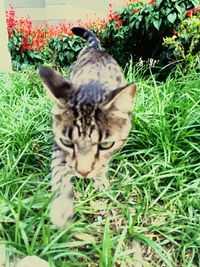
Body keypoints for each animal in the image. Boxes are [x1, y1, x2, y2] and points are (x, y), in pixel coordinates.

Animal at [38, 26, 136, 228]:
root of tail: (95, 48)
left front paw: (99, 178)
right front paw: (62, 207)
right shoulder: (58, 142)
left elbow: (104, 162)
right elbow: (59, 168)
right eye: (67, 142)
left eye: (106, 144)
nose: (83, 173)